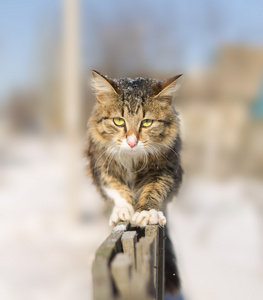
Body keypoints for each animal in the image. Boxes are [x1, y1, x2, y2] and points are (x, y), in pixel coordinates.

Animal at [86, 69, 184, 292]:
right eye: (118, 121)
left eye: (146, 122)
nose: (132, 142)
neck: (132, 159)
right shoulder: (102, 166)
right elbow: (116, 189)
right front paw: (123, 210)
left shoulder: (165, 170)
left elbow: (154, 190)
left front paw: (146, 213)